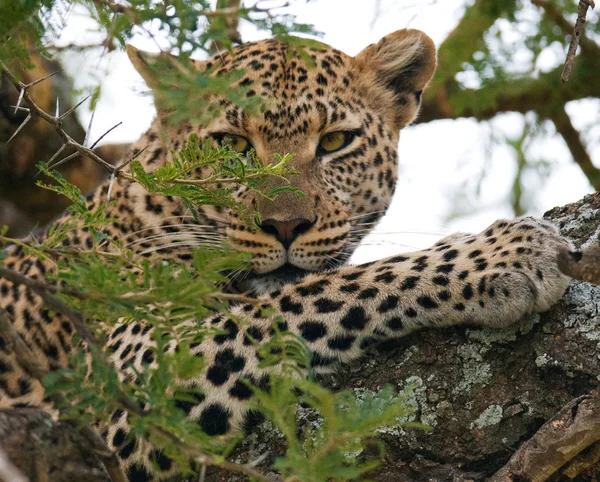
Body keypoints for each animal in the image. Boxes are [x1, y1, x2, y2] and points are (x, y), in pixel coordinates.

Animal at [0, 28, 576, 480]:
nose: (284, 226)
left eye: (335, 142)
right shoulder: (131, 374)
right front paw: (502, 254)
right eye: (232, 145)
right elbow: (322, 291)